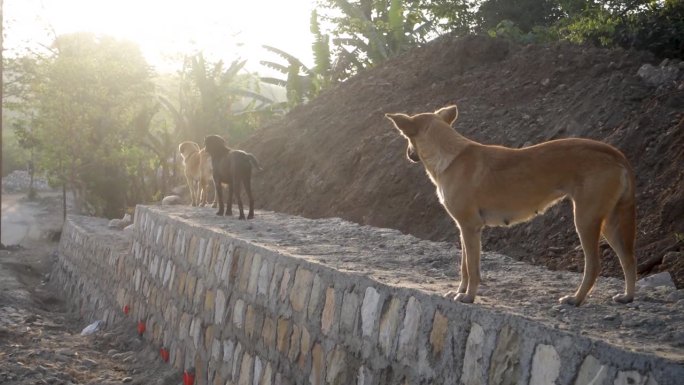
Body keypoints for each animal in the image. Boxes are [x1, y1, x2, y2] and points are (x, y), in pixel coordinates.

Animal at [388, 105, 640, 306]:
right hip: (609, 223)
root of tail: (614, 153)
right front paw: (460, 291)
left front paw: (468, 296)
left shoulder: (470, 227)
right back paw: (627, 296)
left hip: (586, 220)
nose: (408, 154)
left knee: (594, 266)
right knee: (629, 259)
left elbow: (472, 268)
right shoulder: (464, 229)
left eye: (406, 139)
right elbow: (464, 267)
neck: (452, 156)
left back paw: (576, 299)